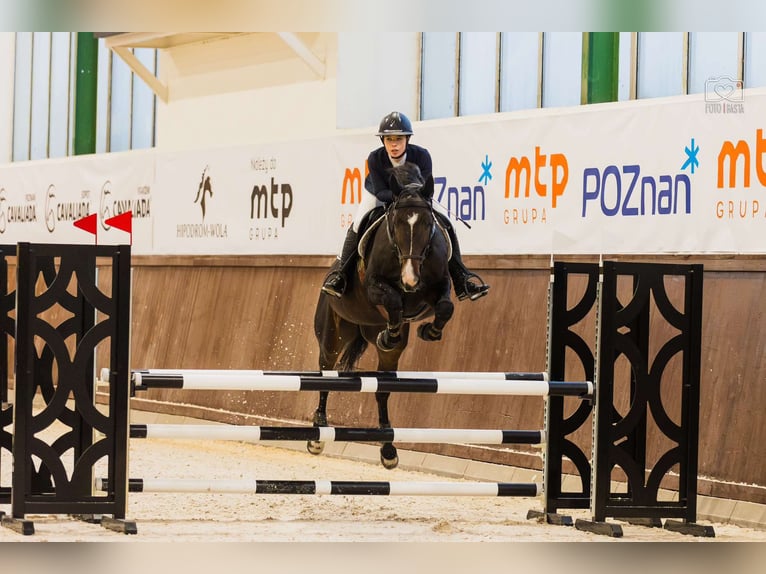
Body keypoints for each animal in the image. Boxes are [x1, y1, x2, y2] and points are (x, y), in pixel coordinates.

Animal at [312, 162, 456, 468]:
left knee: (382, 389)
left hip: (382, 354)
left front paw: (429, 331)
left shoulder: (440, 286)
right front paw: (390, 332)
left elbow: (444, 307)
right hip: (332, 334)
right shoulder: (374, 286)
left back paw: (388, 450)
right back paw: (318, 432)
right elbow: (392, 299)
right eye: (396, 223)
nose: (410, 279)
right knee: (326, 371)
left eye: (428, 224)